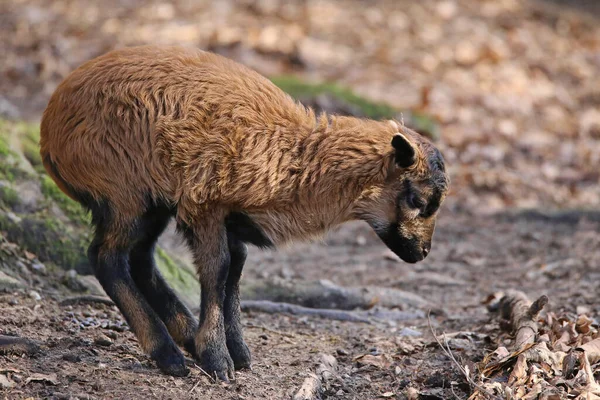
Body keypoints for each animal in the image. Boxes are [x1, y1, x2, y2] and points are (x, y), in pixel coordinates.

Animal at [38, 45, 450, 380]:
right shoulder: (203, 204)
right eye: (418, 200)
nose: (424, 252)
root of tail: (48, 129)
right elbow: (217, 270)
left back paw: (183, 336)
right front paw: (218, 360)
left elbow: (235, 270)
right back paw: (169, 355)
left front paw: (236, 352)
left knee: (140, 258)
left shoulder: (227, 217)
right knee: (106, 257)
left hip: (150, 201)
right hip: (123, 189)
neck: (295, 161)